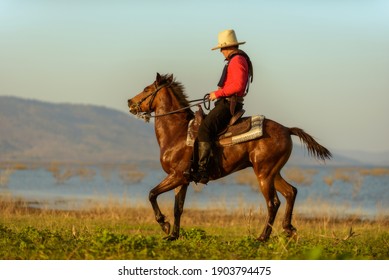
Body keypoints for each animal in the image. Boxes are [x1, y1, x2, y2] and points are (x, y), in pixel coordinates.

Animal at [128, 73, 330, 242]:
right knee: (290, 192)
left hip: (264, 174)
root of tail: (287, 129)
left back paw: (263, 237)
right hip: (273, 173)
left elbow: (152, 194)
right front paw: (173, 235)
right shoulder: (182, 180)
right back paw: (288, 229)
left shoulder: (176, 176)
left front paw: (164, 224)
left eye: (146, 89)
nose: (130, 102)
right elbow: (178, 208)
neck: (177, 132)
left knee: (273, 203)